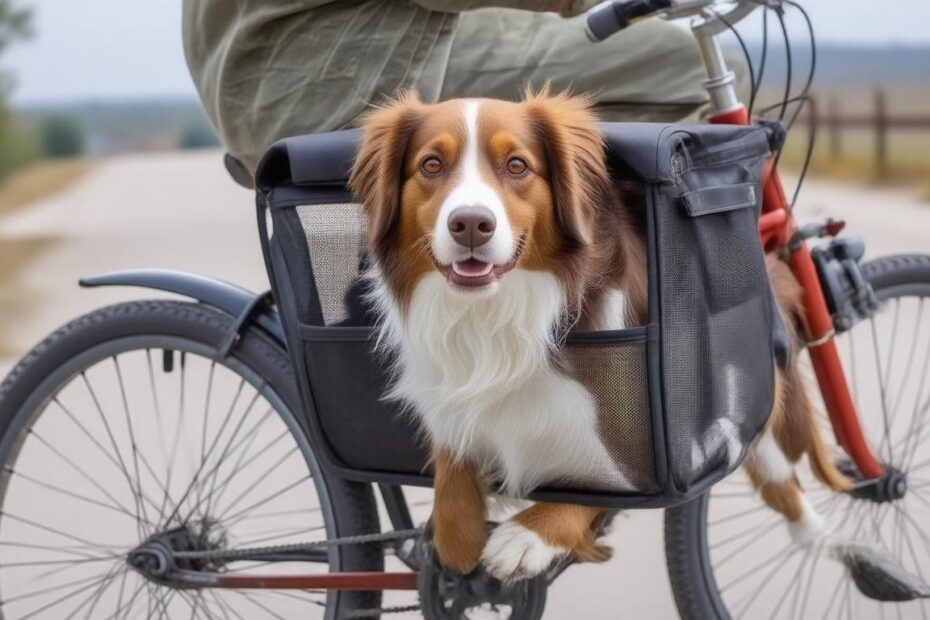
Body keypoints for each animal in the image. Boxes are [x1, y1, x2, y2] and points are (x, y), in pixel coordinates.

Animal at [348, 89, 848, 584]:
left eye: (517, 165)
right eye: (432, 165)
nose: (471, 224)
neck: (495, 314)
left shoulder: (644, 447)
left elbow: (609, 487)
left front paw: (528, 535)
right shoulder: (450, 402)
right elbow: (453, 504)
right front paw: (457, 545)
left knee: (775, 469)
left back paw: (830, 538)